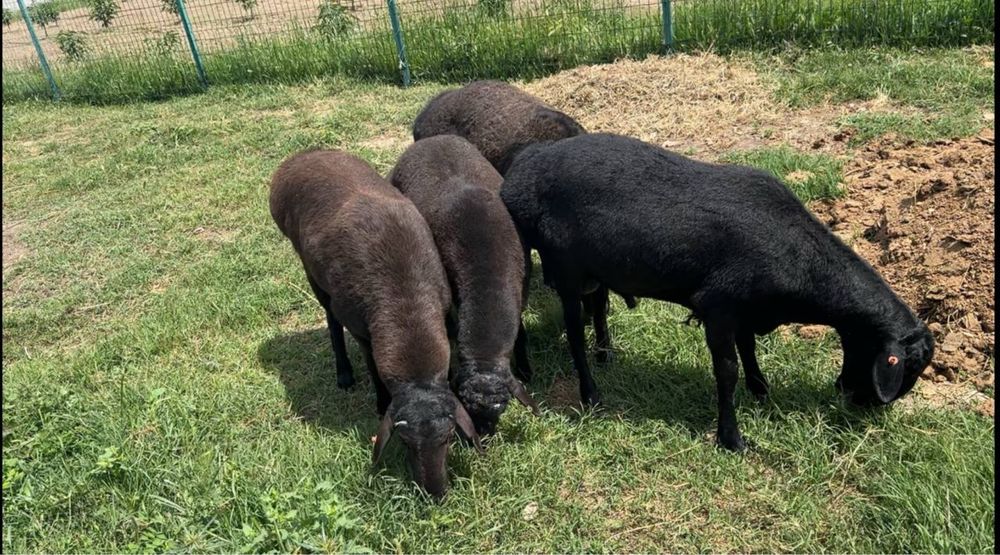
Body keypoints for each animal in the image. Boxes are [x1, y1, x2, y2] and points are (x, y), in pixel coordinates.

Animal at [269, 149, 481, 497]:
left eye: (449, 437)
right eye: (404, 442)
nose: (435, 493)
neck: (406, 306)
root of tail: (302, 156)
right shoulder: (361, 329)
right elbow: (371, 364)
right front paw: (381, 402)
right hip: (311, 270)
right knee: (330, 320)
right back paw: (343, 373)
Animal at [388, 135, 540, 436]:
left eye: (502, 408)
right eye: (468, 407)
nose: (485, 434)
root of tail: (431, 140)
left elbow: (521, 331)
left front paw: (525, 367)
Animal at [500, 133, 934, 451]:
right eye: (908, 366)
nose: (864, 404)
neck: (805, 264)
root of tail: (521, 170)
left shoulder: (745, 308)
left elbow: (749, 348)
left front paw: (761, 390)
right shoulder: (719, 307)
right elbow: (727, 370)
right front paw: (732, 438)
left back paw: (601, 357)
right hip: (565, 270)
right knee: (573, 334)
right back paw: (588, 393)